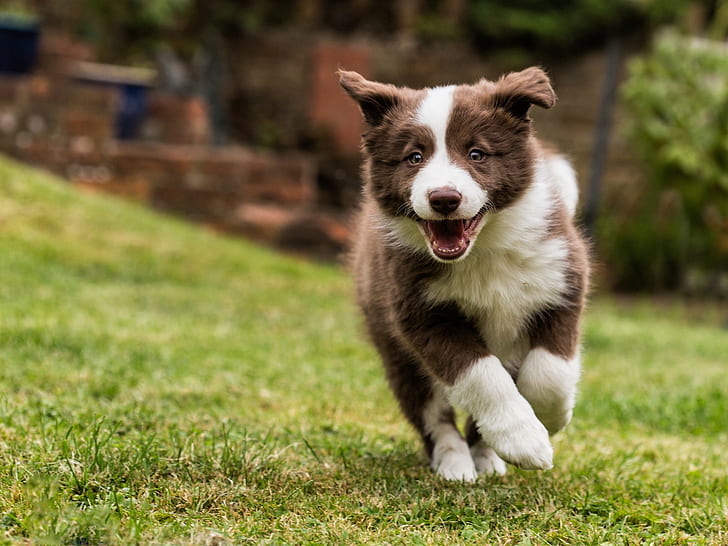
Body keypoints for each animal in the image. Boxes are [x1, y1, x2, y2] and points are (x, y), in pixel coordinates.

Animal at [338, 68, 588, 480]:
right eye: (414, 157)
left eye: (476, 154)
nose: (443, 198)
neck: (483, 248)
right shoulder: (421, 313)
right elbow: (481, 376)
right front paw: (524, 439)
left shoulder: (561, 281)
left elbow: (550, 372)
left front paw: (548, 420)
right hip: (397, 352)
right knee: (431, 414)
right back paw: (455, 462)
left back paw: (486, 457)